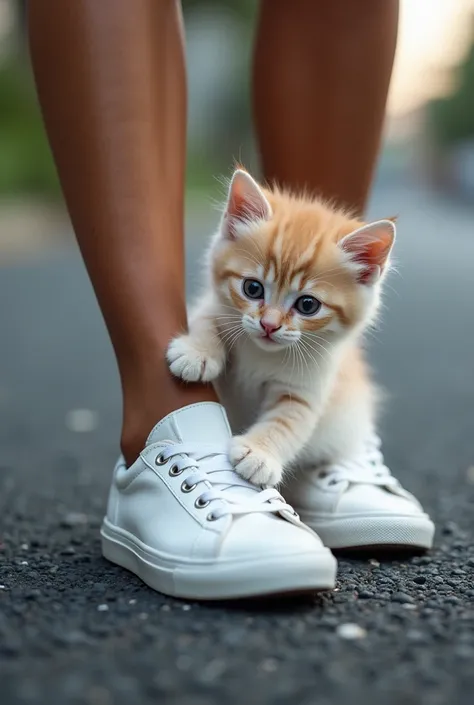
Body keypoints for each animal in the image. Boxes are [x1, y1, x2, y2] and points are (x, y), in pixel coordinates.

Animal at [165, 168, 394, 486]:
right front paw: (197, 354)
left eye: (308, 305)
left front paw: (259, 454)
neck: (261, 354)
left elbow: (287, 422)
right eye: (252, 288)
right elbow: (206, 319)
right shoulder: (213, 307)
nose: (269, 325)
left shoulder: (306, 388)